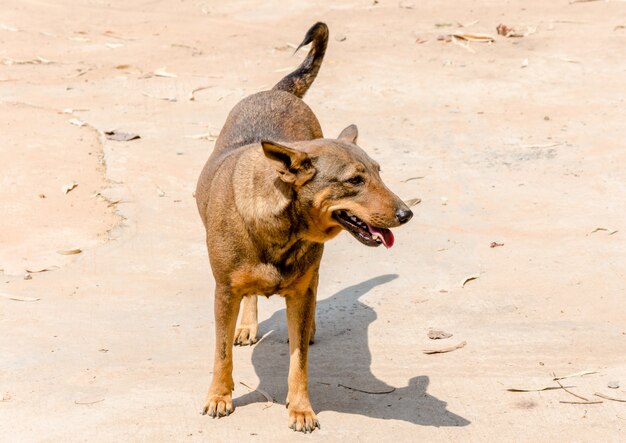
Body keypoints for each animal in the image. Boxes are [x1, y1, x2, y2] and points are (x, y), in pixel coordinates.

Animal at [194, 21, 410, 434]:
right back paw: (246, 326)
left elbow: (298, 363)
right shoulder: (223, 291)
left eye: (379, 173)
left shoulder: (300, 292)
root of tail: (278, 92)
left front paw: (301, 408)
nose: (407, 214)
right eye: (355, 180)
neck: (282, 229)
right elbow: (221, 352)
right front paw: (219, 396)